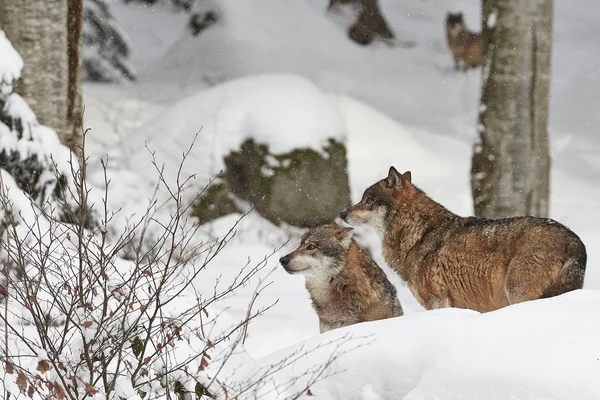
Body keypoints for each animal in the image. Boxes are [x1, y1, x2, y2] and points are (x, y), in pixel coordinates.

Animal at [340, 166, 588, 312]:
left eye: (367, 200)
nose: (342, 213)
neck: (418, 233)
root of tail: (574, 240)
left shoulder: (438, 302)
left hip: (519, 294)